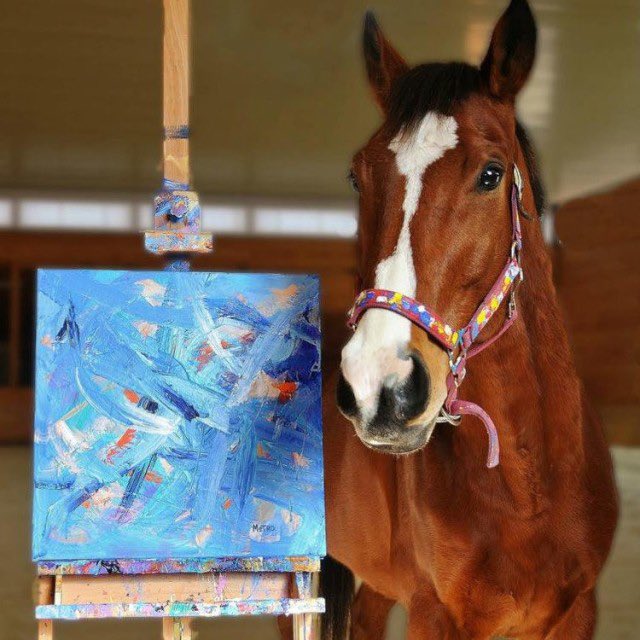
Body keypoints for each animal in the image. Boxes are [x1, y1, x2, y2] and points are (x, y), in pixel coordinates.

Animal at [312, 1, 618, 638]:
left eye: (491, 174)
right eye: (358, 176)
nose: (377, 386)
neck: (529, 489)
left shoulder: (578, 612)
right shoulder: (437, 614)